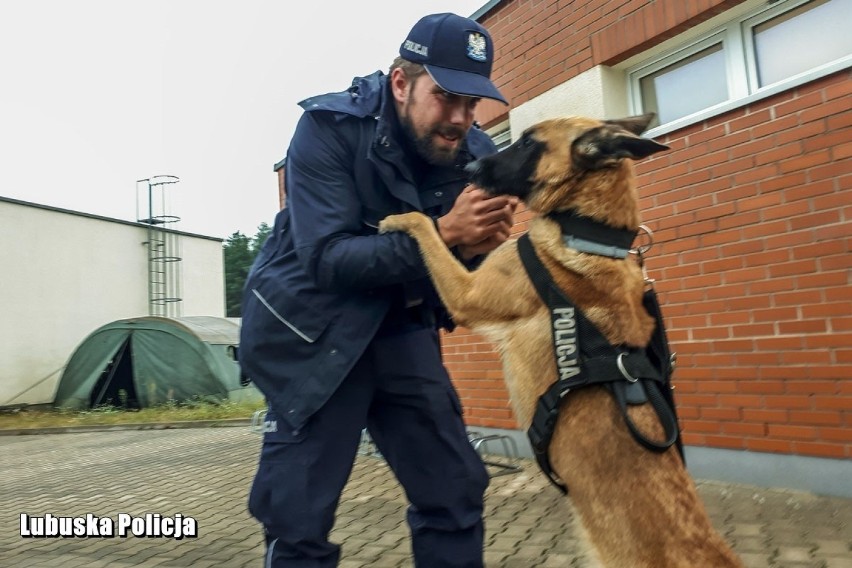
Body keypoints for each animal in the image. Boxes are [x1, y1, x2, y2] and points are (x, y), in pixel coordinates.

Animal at [380, 113, 744, 564]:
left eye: (526, 143)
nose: (469, 167)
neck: (589, 233)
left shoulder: (467, 294)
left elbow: (426, 228)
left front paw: (399, 218)